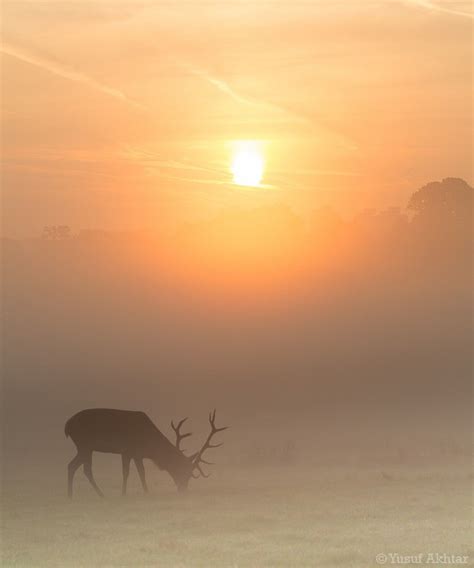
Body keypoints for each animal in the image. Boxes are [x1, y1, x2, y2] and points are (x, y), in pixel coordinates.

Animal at [65, 408, 228, 496]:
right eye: (185, 471)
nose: (183, 490)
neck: (150, 445)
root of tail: (67, 425)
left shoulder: (138, 454)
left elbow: (141, 472)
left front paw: (146, 492)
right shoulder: (127, 450)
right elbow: (126, 472)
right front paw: (124, 494)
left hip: (84, 447)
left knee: (72, 465)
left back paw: (70, 496)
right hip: (85, 445)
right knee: (85, 469)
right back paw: (101, 495)